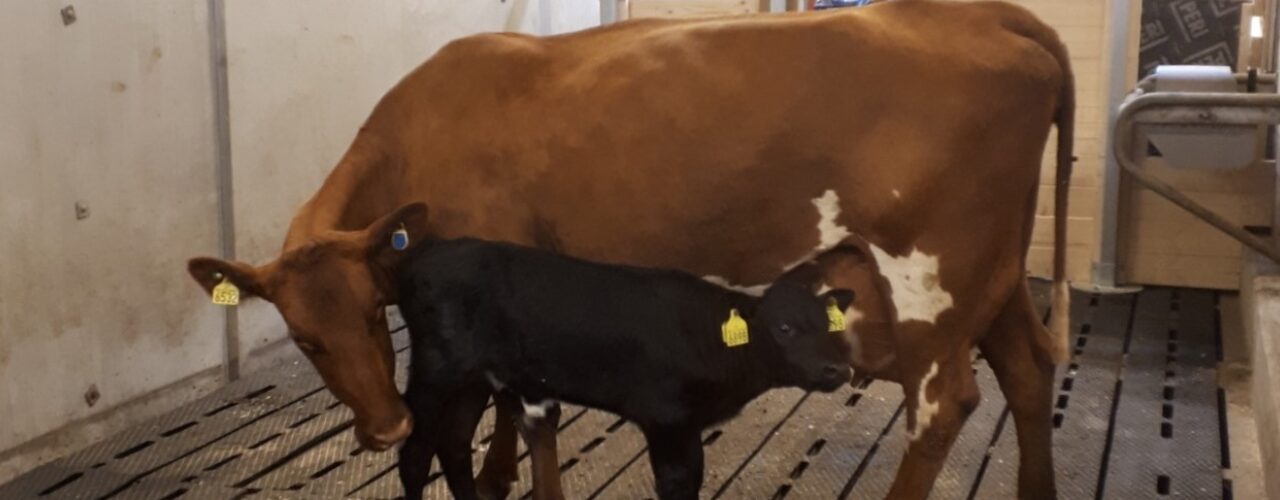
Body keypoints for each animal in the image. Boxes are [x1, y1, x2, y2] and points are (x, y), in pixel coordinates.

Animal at [186, 1, 1070, 498]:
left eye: (377, 314)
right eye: (305, 338)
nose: (385, 430)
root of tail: (980, 11)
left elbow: (520, 407)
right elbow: (509, 403)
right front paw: (499, 473)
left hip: (931, 276)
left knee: (946, 402)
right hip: (996, 272)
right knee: (1029, 369)